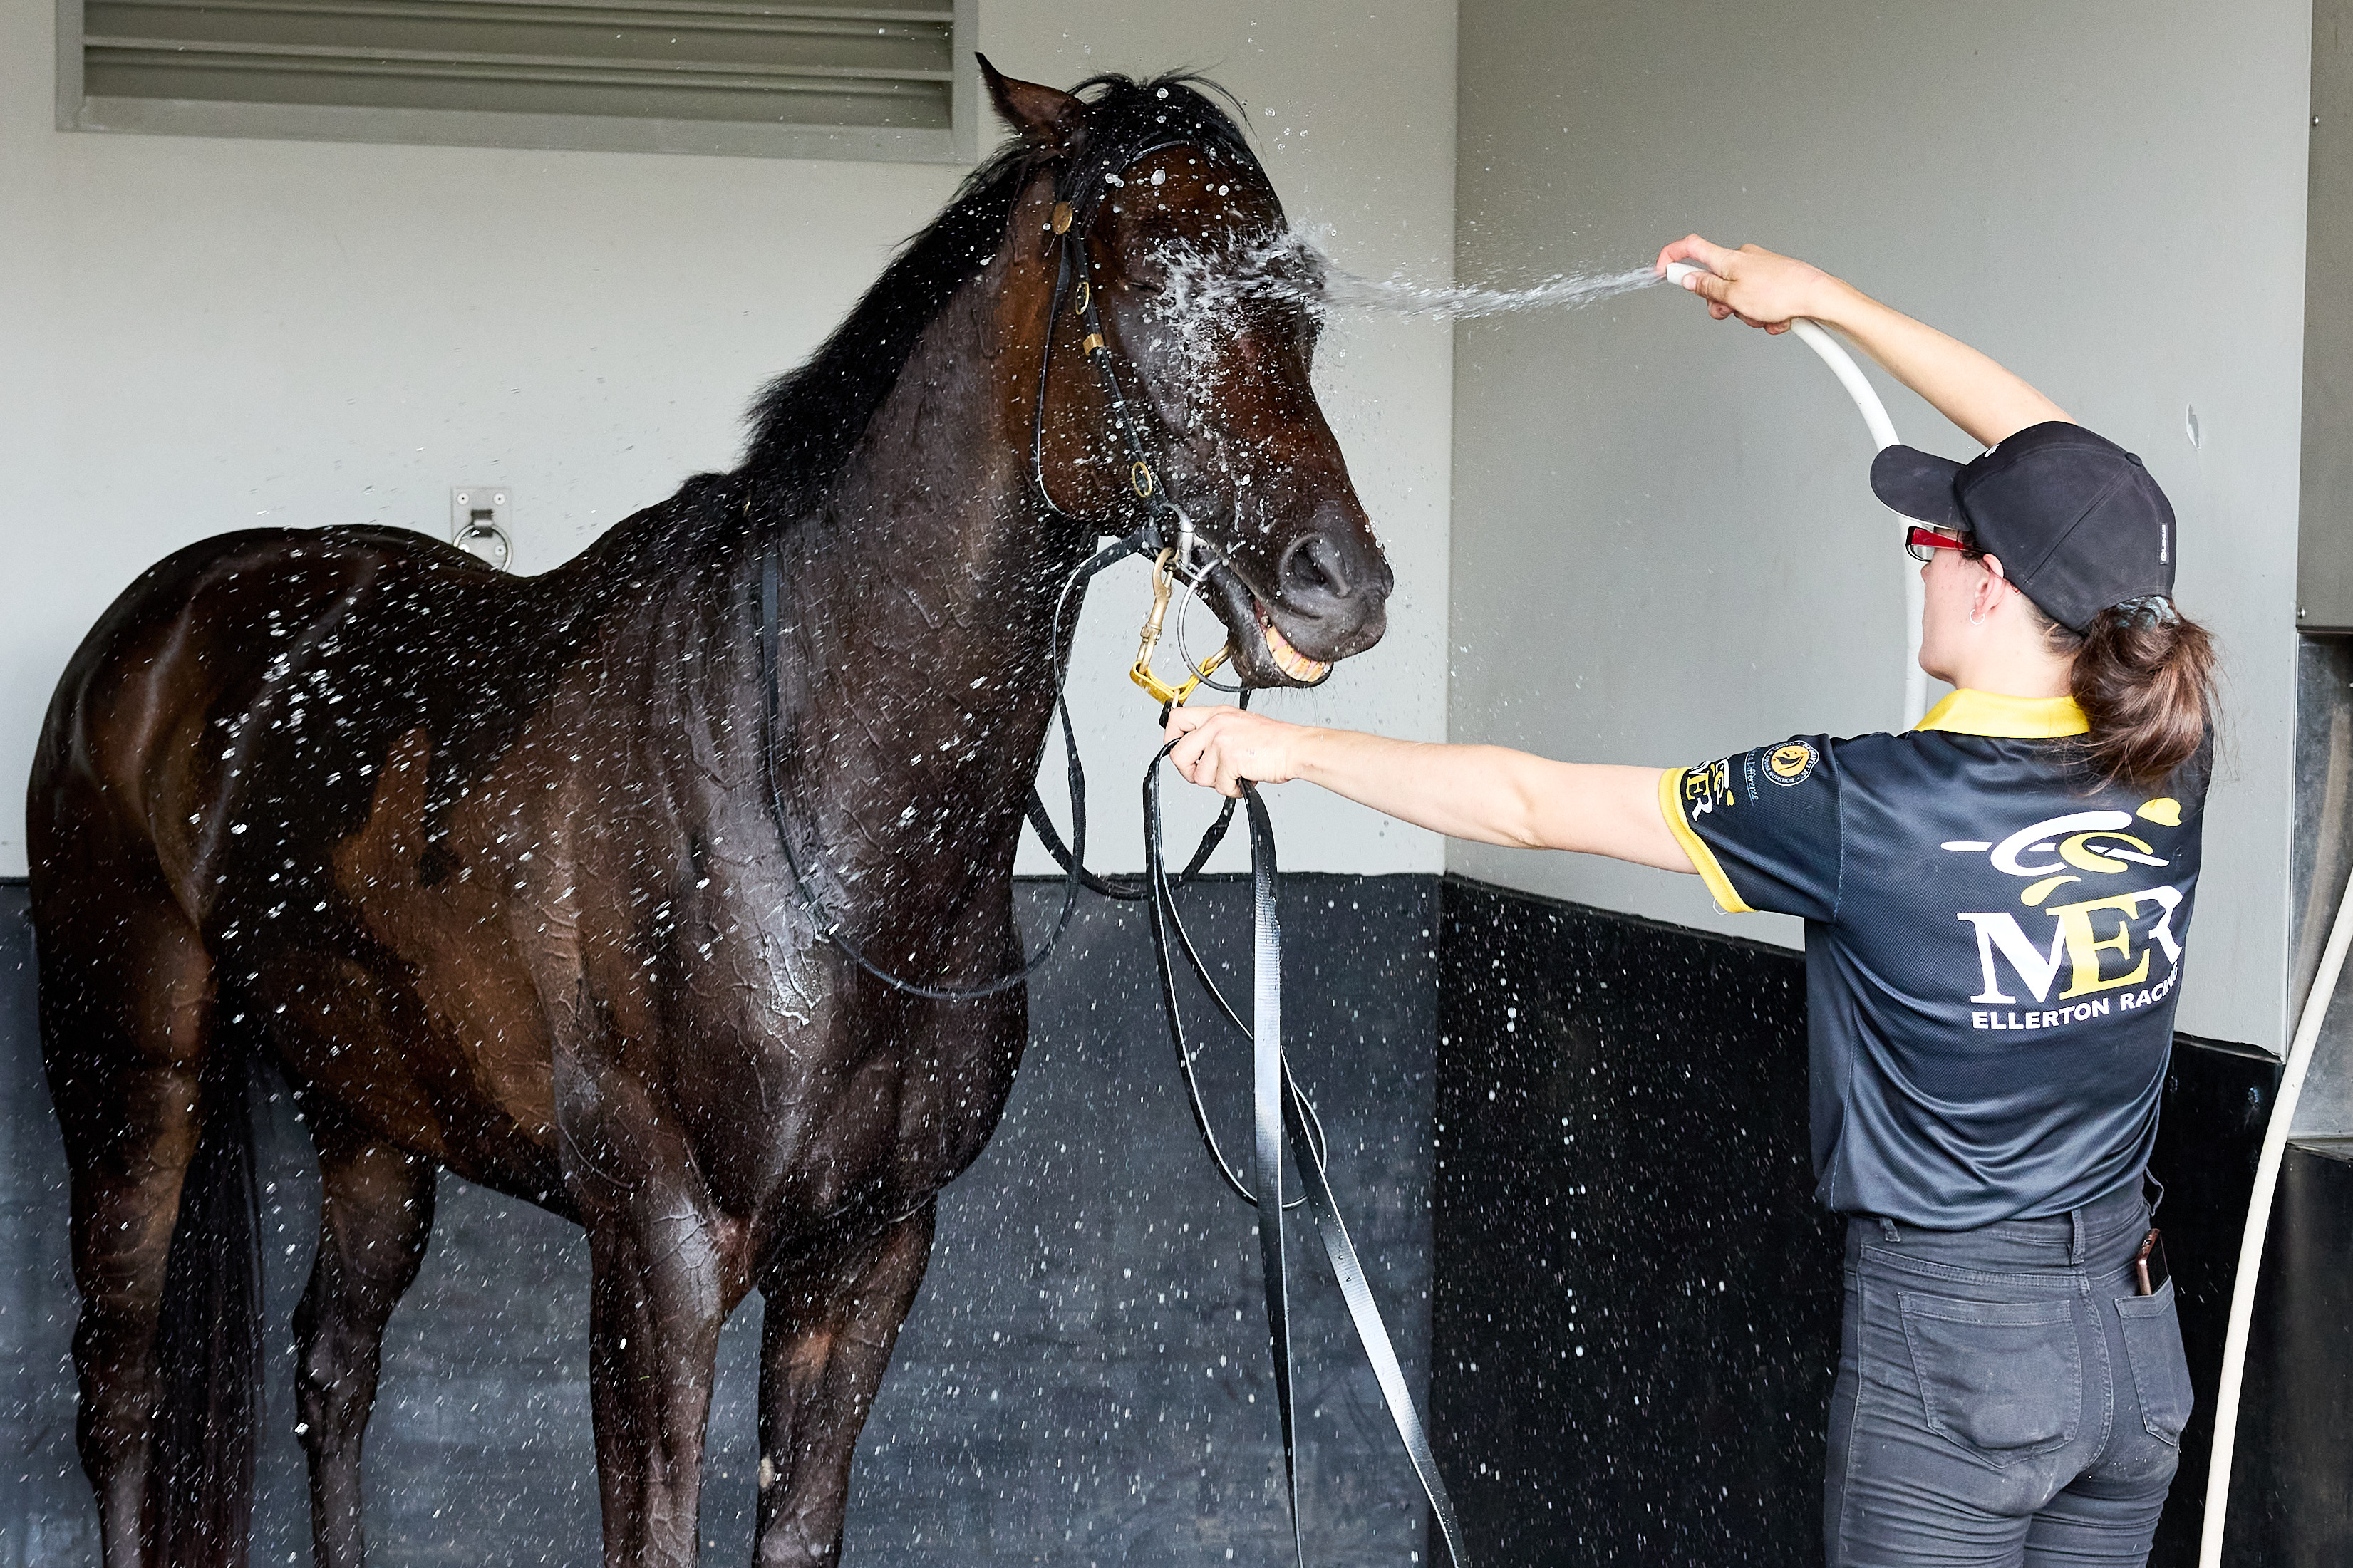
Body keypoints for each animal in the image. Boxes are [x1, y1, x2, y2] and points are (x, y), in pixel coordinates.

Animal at [28, 60, 1391, 1568]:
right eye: (1140, 268)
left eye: (1302, 298)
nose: (1340, 584)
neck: (805, 800)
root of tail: (151, 628)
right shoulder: (657, 1263)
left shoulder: (869, 1258)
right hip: (128, 1072)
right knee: (123, 1386)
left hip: (366, 1106)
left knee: (335, 1359)